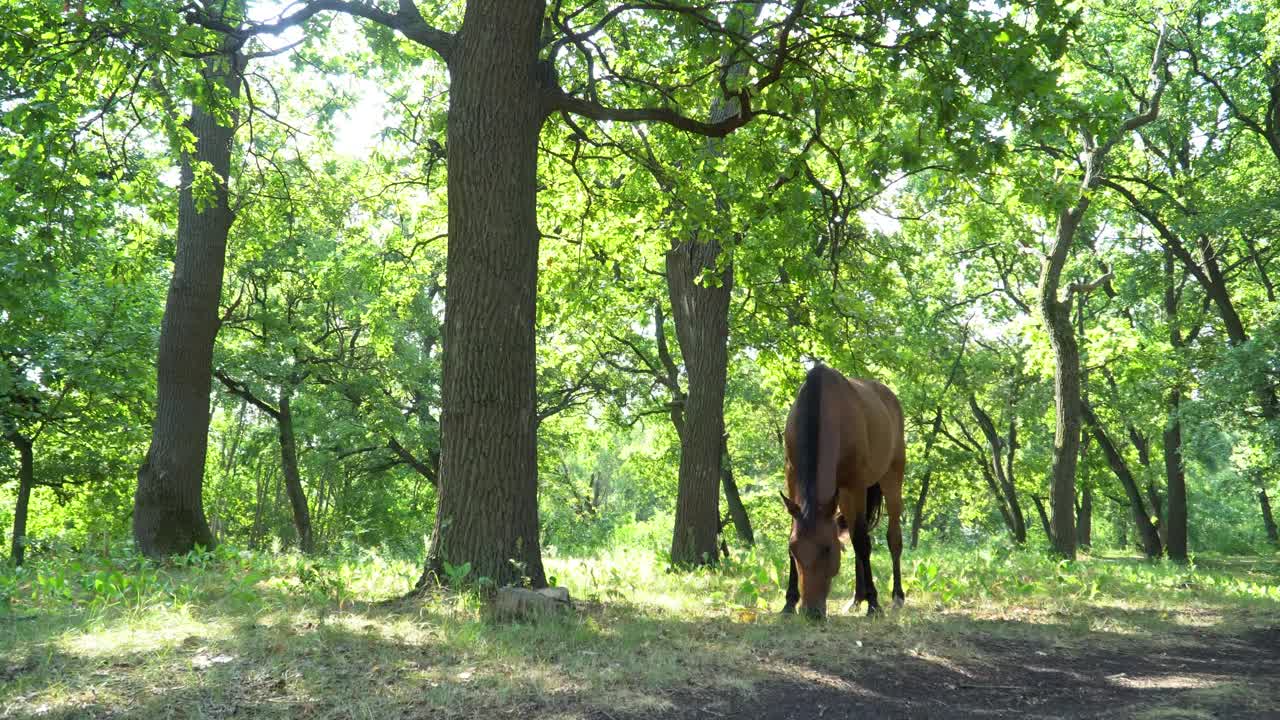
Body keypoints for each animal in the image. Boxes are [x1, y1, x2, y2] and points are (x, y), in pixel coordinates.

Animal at [773, 363, 906, 617]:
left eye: (827, 549)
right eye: (794, 550)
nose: (811, 612)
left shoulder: (855, 484)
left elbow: (863, 542)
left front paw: (874, 604)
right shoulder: (792, 477)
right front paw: (788, 602)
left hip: (891, 479)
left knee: (892, 538)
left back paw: (897, 596)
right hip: (843, 496)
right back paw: (856, 598)